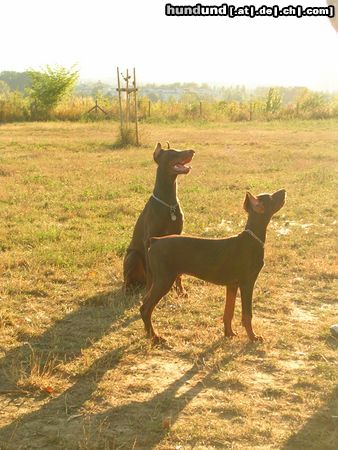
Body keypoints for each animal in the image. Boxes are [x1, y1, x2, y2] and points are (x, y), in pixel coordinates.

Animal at [123, 142, 195, 294]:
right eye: (173, 152)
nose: (193, 151)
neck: (168, 203)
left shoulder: (177, 236)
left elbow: (179, 273)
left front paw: (181, 290)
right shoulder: (148, 240)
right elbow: (150, 272)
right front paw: (149, 292)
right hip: (133, 256)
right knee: (127, 279)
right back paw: (128, 290)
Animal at [140, 189, 286, 342]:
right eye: (271, 197)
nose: (284, 191)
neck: (252, 239)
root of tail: (154, 241)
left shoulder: (232, 285)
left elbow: (228, 312)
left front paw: (229, 333)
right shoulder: (247, 283)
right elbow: (247, 315)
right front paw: (253, 337)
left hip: (158, 280)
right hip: (164, 280)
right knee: (145, 309)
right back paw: (155, 337)